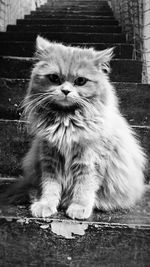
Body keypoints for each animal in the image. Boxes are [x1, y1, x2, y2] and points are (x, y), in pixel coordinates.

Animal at [1, 36, 146, 220]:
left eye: (80, 81)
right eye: (54, 78)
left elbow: (84, 188)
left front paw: (79, 207)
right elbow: (50, 187)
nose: (65, 91)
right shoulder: (50, 157)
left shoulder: (90, 160)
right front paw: (46, 205)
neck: (66, 121)